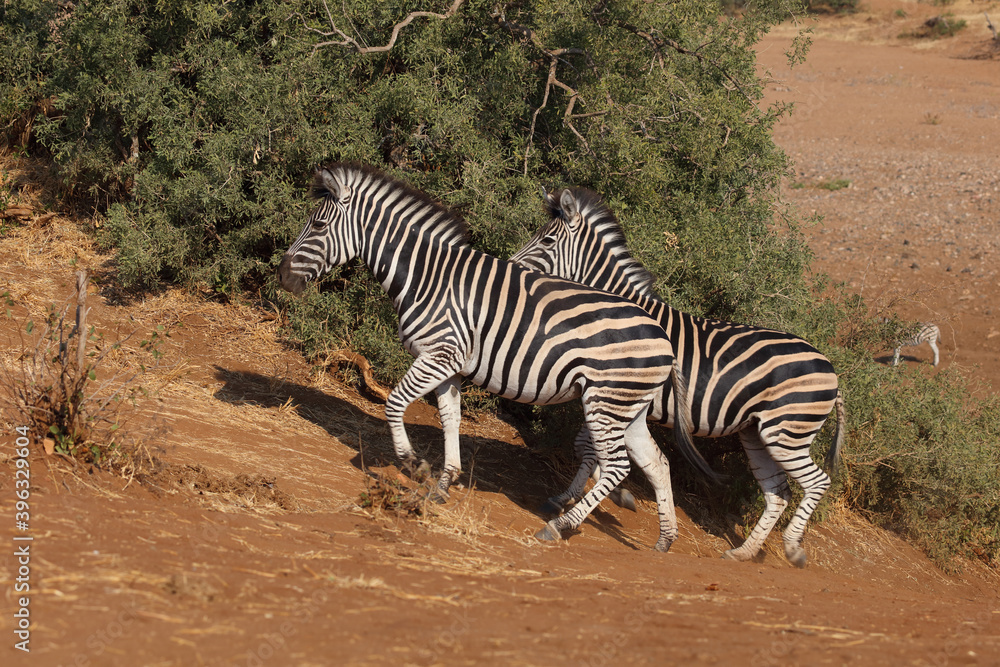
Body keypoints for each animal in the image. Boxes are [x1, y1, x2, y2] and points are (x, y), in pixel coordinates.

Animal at [276, 163, 697, 551]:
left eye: (317, 224)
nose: (281, 276)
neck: (427, 276)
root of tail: (664, 336)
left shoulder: (439, 354)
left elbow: (394, 404)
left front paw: (415, 465)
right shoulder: (449, 366)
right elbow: (450, 419)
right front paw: (444, 483)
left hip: (606, 400)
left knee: (617, 466)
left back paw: (560, 525)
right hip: (629, 407)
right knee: (657, 462)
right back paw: (664, 540)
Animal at [509, 186, 846, 568]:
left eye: (547, 240)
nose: (509, 263)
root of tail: (830, 368)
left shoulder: (616, 392)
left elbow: (591, 448)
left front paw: (601, 497)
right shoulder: (611, 394)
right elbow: (589, 448)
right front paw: (589, 495)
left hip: (787, 432)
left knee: (817, 482)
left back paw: (792, 548)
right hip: (758, 434)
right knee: (777, 493)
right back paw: (743, 552)